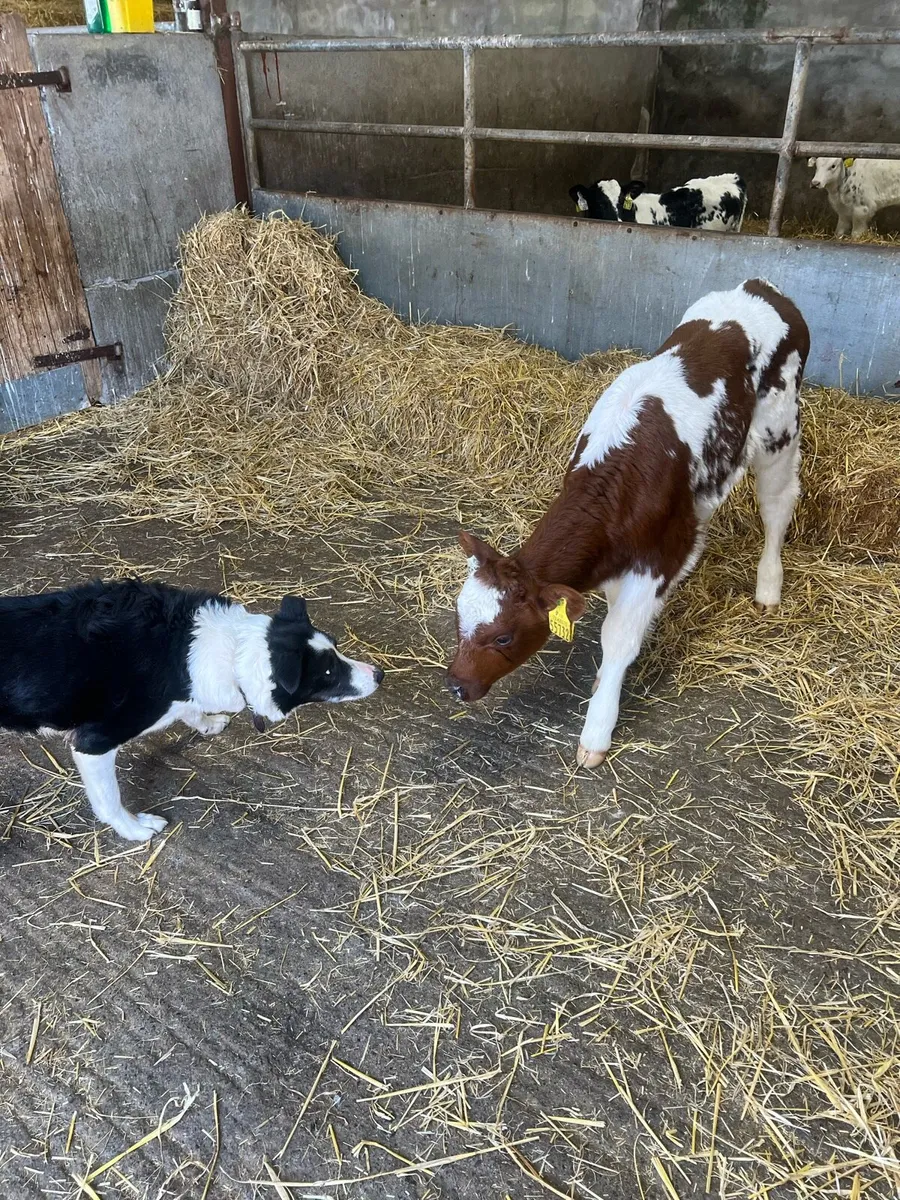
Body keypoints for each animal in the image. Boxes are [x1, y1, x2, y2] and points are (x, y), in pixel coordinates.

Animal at [447, 279, 810, 768]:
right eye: (459, 618)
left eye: (504, 637)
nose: (456, 685)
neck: (614, 481)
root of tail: (759, 287)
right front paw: (604, 682)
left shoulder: (653, 562)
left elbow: (618, 638)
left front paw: (597, 729)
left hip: (778, 430)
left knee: (777, 503)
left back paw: (769, 587)